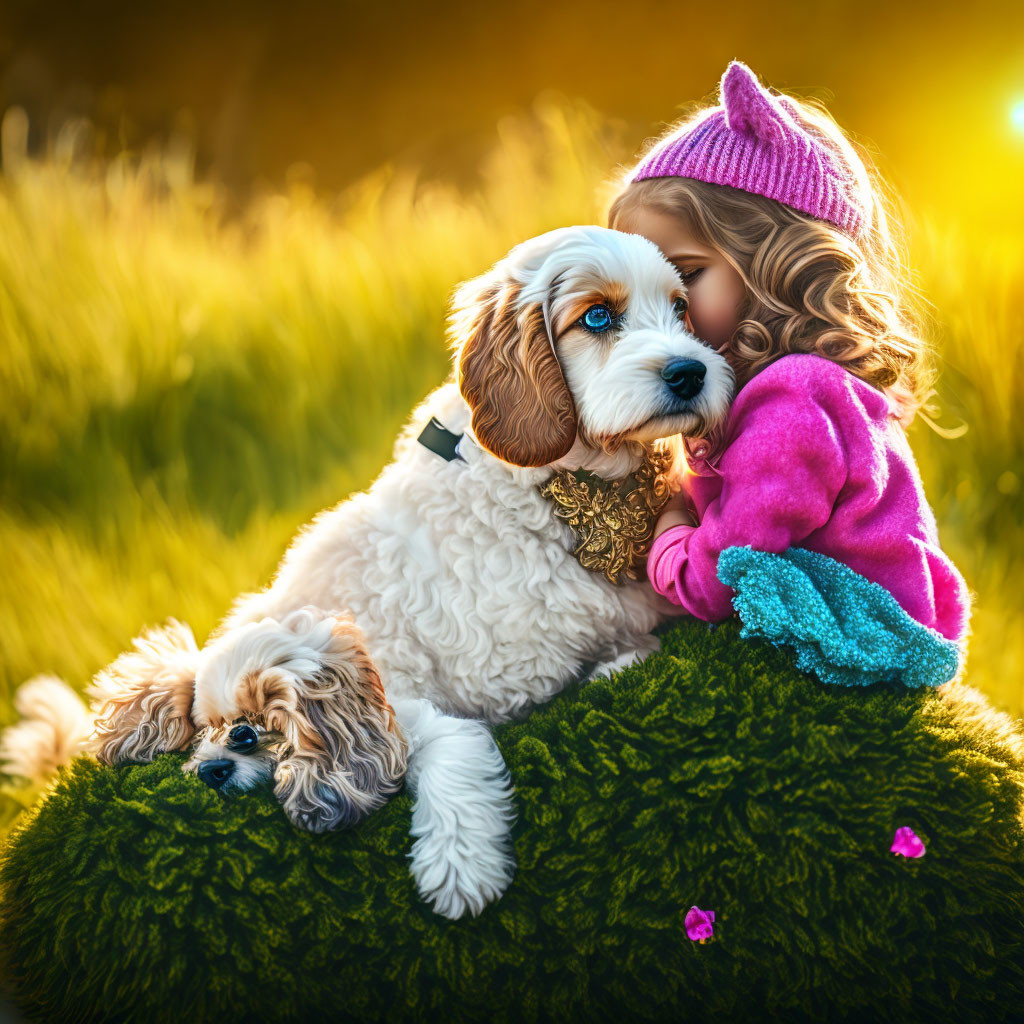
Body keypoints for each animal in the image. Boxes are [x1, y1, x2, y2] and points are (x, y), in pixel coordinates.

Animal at [2, 224, 737, 921]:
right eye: (598, 317)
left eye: (680, 309)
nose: (691, 372)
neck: (575, 496)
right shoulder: (451, 686)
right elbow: (467, 731)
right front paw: (460, 861)